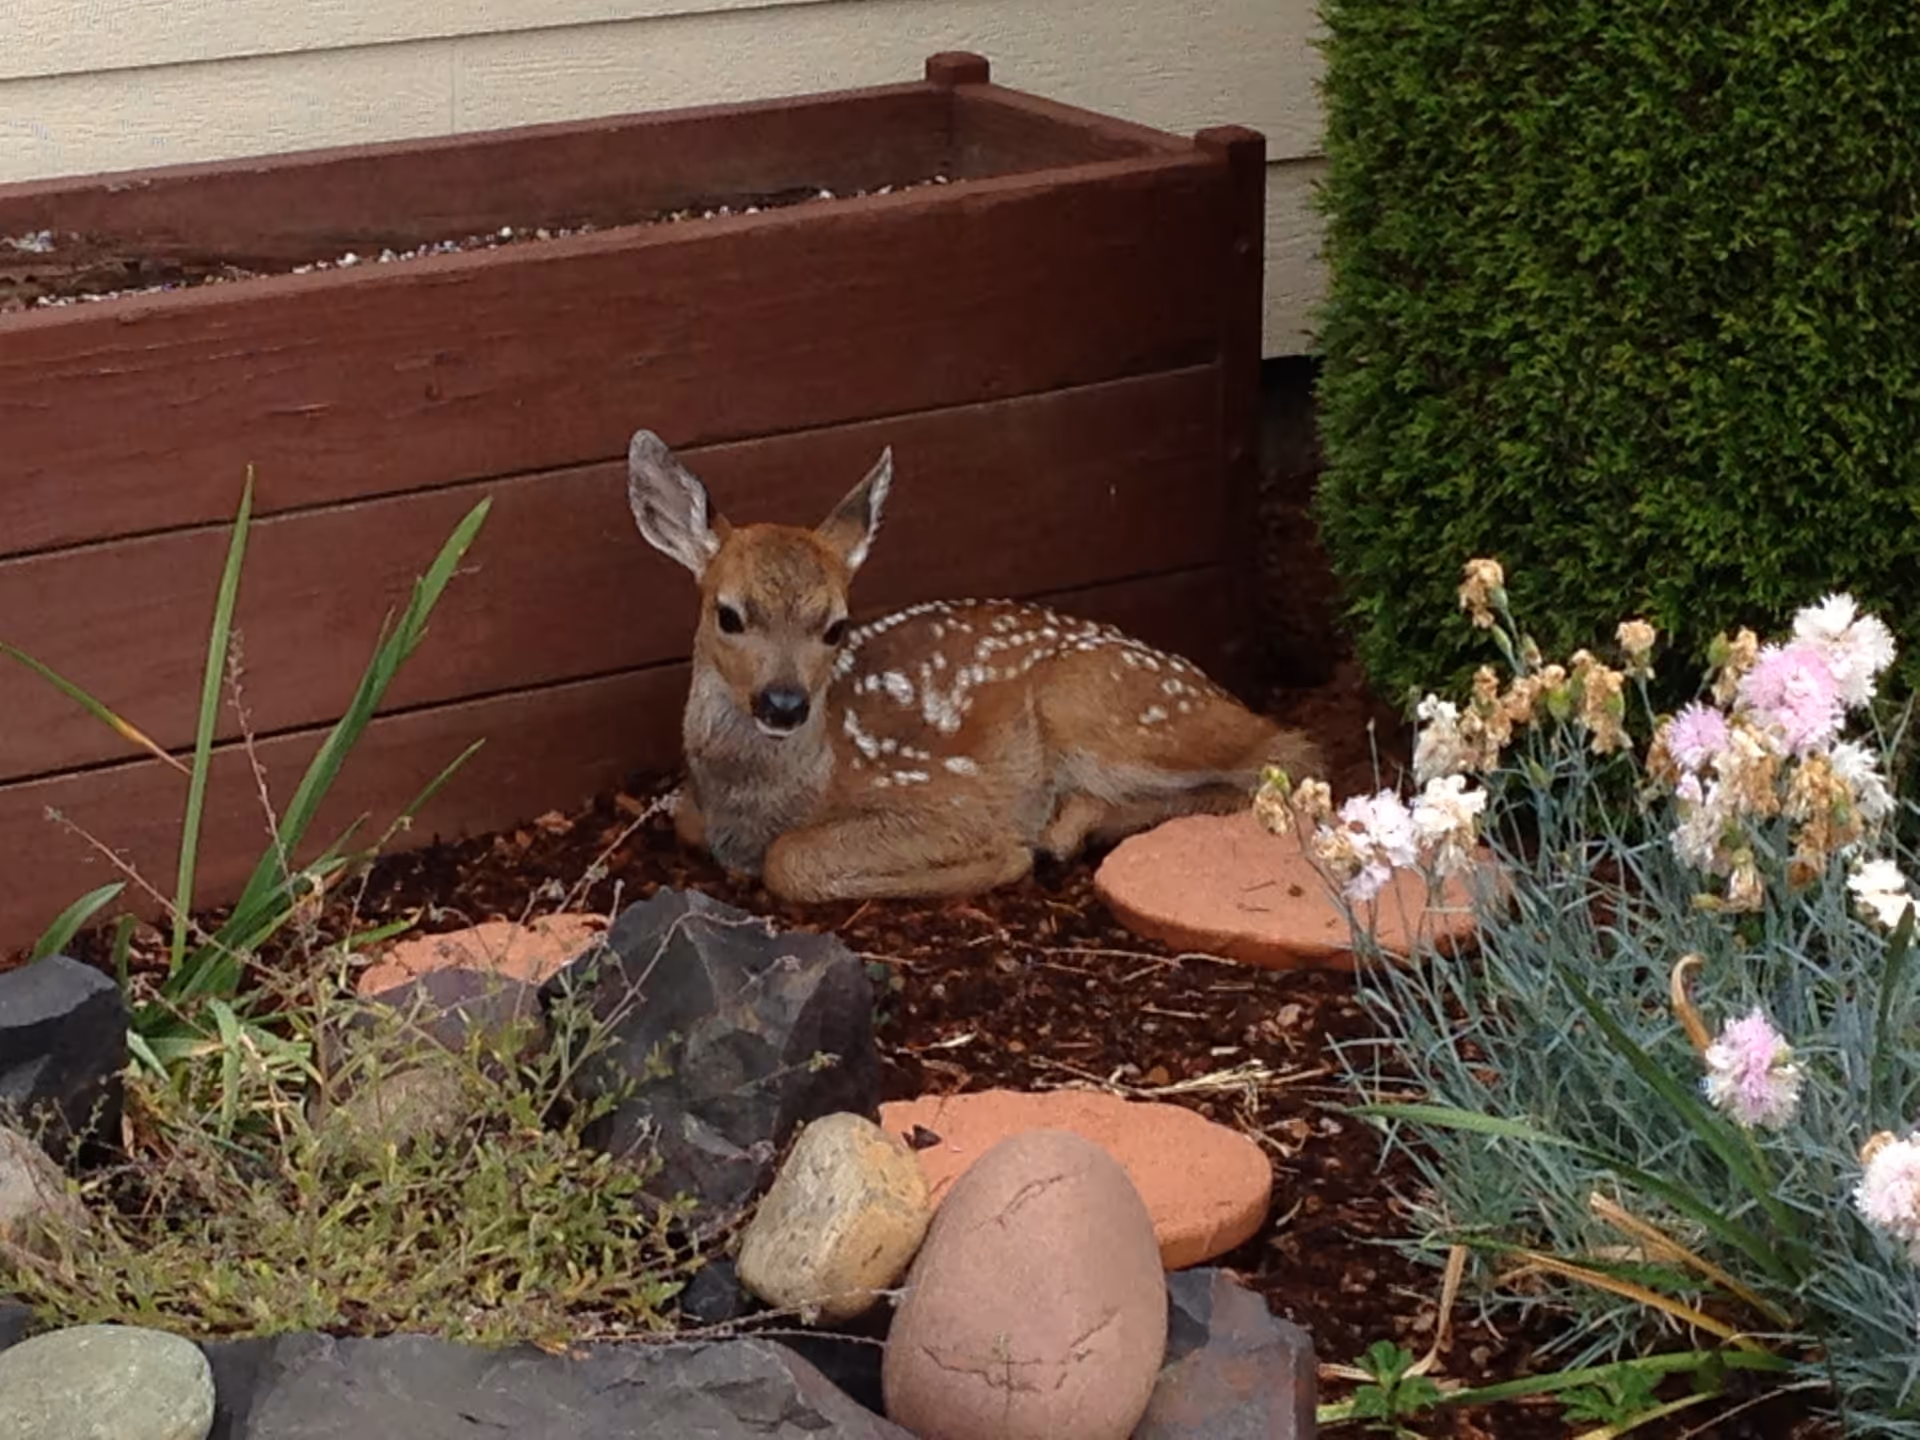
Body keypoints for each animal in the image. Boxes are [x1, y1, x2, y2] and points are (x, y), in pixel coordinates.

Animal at [626, 429, 1325, 904]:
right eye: (728, 614)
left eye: (836, 626)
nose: (783, 702)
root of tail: (1218, 694)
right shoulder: (695, 813)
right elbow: (688, 820)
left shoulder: (945, 796)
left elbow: (790, 861)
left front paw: (1004, 858)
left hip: (1098, 705)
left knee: (1288, 756)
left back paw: (1063, 828)